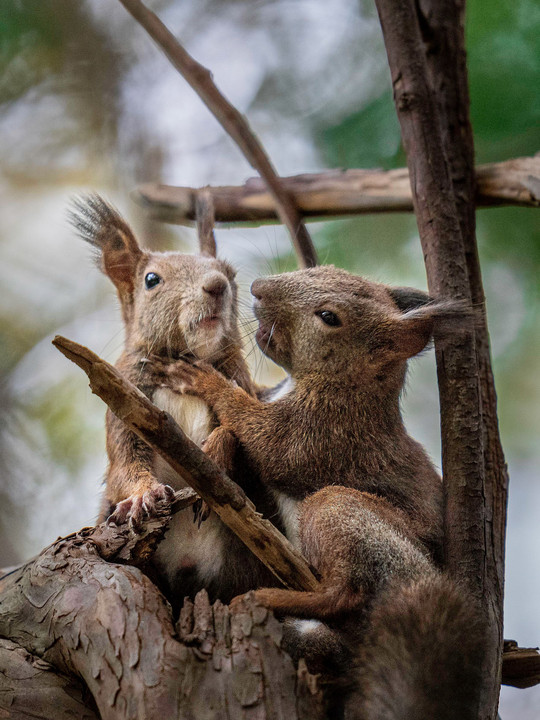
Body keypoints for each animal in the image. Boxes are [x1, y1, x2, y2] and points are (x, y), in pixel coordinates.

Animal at [68, 197, 278, 608]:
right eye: (151, 280)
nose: (217, 286)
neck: (181, 363)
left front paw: (215, 455)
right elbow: (125, 465)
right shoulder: (124, 407)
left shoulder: (240, 385)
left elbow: (240, 434)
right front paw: (141, 496)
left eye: (229, 273)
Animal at [160, 266, 486, 720]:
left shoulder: (322, 433)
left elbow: (265, 439)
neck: (347, 385)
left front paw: (204, 379)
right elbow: (238, 436)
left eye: (329, 317)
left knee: (345, 594)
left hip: (339, 510)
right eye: (323, 270)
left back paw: (270, 596)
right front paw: (217, 452)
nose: (259, 288)